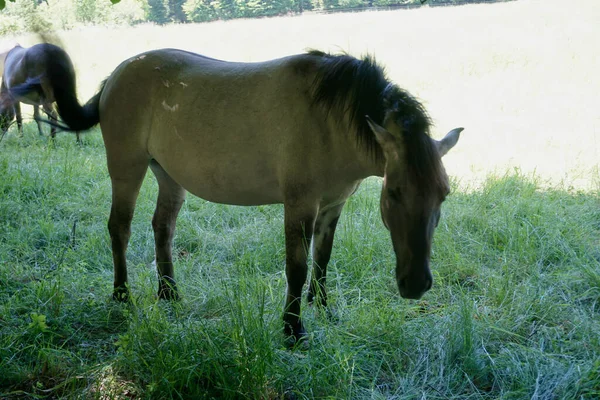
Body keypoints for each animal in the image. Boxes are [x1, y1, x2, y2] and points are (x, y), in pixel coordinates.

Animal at [23, 48, 464, 344]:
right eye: (395, 192)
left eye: (443, 195)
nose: (415, 285)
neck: (331, 117)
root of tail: (117, 74)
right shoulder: (300, 205)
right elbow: (297, 267)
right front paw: (293, 329)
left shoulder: (333, 205)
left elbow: (322, 261)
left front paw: (323, 309)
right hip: (127, 168)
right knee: (120, 228)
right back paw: (122, 296)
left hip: (168, 175)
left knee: (162, 228)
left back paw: (169, 294)